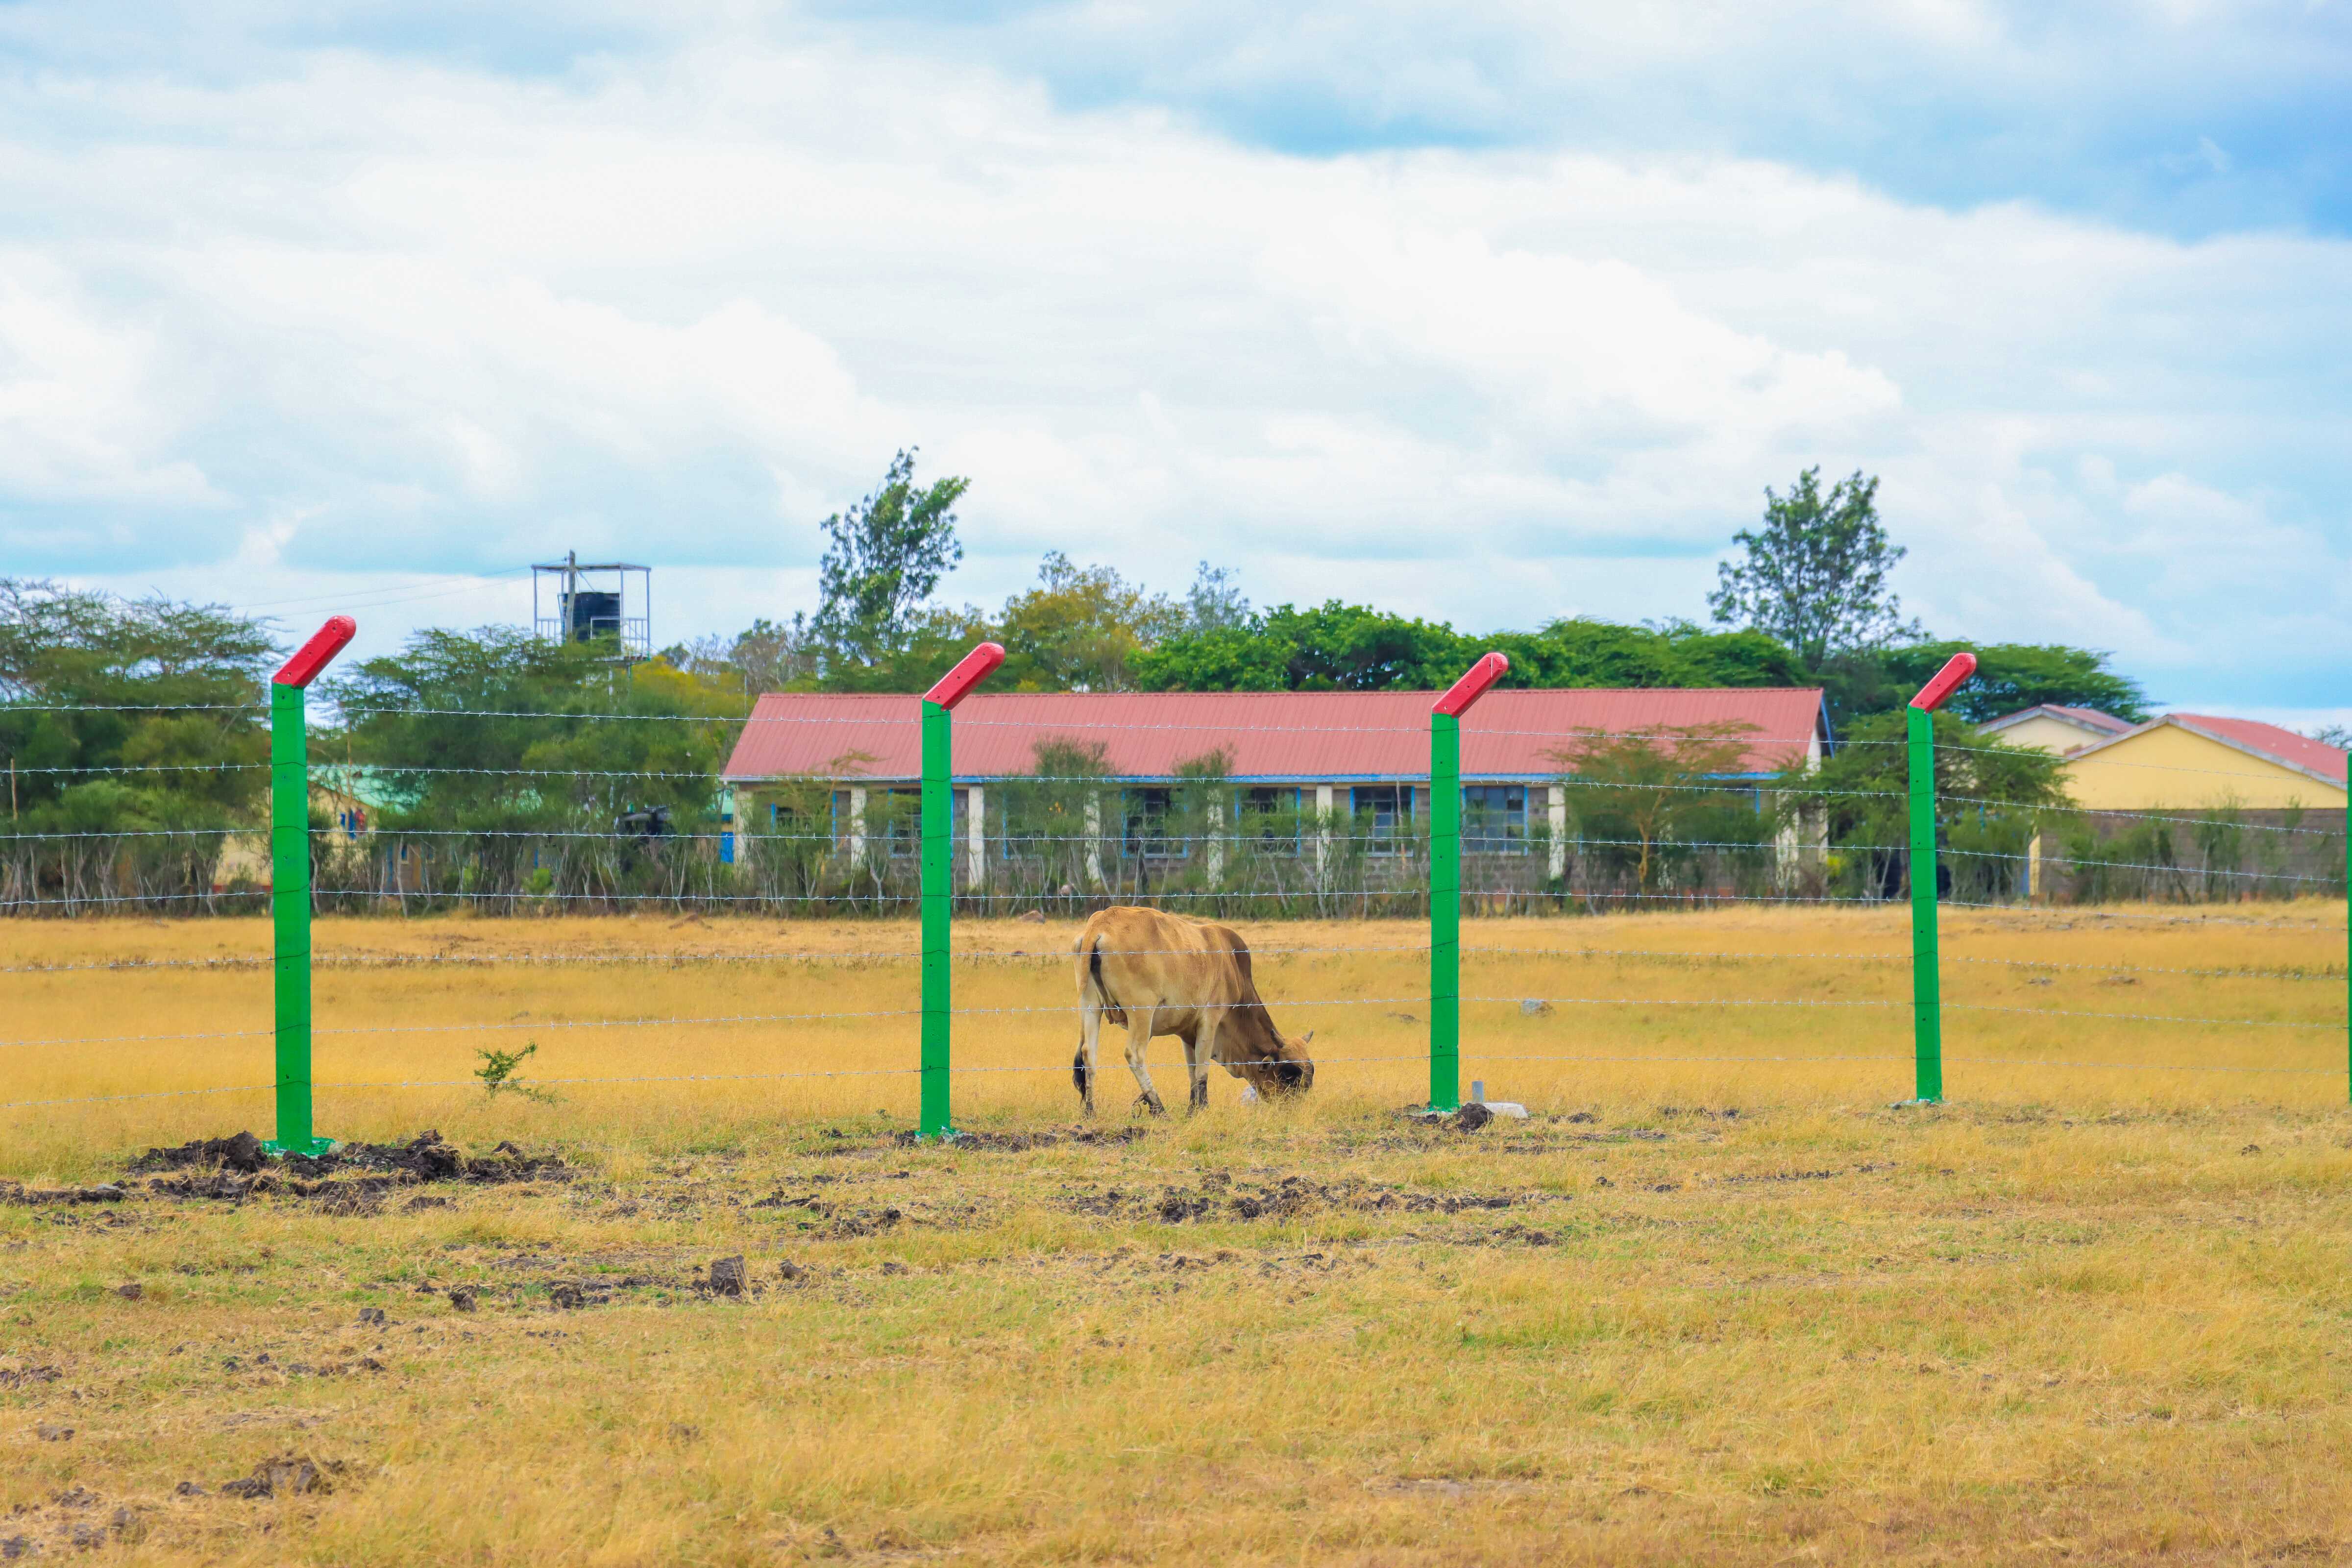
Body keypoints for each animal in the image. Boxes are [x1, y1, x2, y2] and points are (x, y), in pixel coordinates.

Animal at [1077, 907, 1317, 1114]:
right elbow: (1202, 1071)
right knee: (1134, 1055)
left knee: (1089, 1054)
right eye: (1288, 1075)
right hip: (1142, 1012)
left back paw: (1091, 1111)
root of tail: (1102, 923)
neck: (1233, 968)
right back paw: (1159, 1108)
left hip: (1091, 1006)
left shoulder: (1187, 1032)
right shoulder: (1210, 1021)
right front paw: (1201, 1109)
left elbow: (1192, 1072)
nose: (1294, 1109)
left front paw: (1192, 1108)